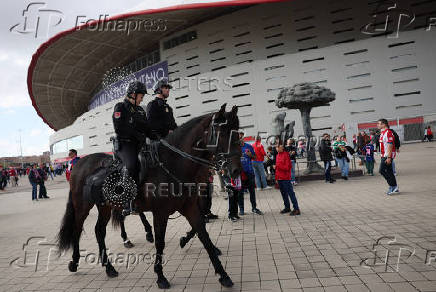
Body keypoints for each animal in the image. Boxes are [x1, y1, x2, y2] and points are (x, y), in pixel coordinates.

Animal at [56, 104, 242, 288]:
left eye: (238, 133)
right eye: (222, 134)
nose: (235, 170)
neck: (172, 165)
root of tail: (79, 163)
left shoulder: (190, 208)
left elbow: (204, 236)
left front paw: (223, 274)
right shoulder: (160, 213)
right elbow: (160, 242)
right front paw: (160, 276)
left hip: (105, 206)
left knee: (99, 231)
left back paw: (109, 267)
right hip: (82, 206)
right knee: (77, 229)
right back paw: (75, 262)